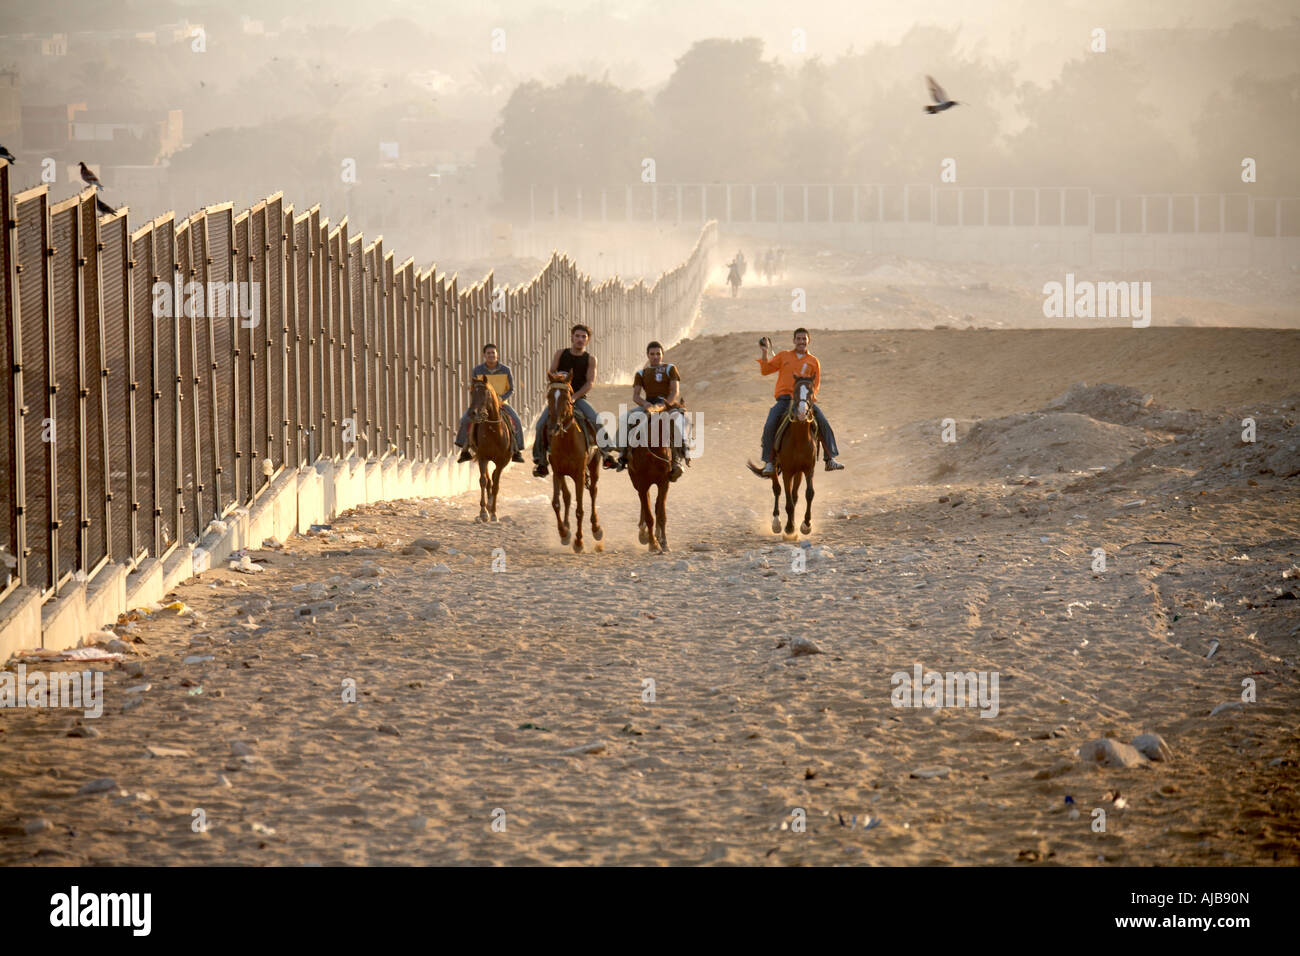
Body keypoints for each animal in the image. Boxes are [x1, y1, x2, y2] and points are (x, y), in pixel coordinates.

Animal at [467, 375, 513, 522]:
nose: (473, 413)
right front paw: (483, 512)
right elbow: (483, 481)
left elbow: (496, 485)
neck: (494, 432)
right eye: (471, 392)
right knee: (487, 479)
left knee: (493, 479)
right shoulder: (482, 457)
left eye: (485, 393)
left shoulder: (502, 462)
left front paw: (493, 513)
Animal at [543, 371, 604, 553]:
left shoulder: (579, 474)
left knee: (593, 491)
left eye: (566, 397)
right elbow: (556, 503)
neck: (567, 441)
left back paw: (596, 528)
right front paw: (564, 533)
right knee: (567, 496)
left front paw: (579, 541)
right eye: (549, 396)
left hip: (594, 465)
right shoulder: (557, 471)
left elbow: (580, 510)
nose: (553, 427)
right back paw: (567, 527)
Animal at [627, 402, 683, 553]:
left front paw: (664, 543)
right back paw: (644, 534)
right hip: (637, 483)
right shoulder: (642, 484)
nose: (681, 445)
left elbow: (661, 513)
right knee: (645, 502)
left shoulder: (664, 482)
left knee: (656, 505)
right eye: (671, 423)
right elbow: (649, 515)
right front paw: (653, 544)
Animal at [747, 375, 817, 540]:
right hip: (775, 468)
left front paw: (806, 525)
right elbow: (788, 501)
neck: (799, 439)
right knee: (777, 490)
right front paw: (789, 528)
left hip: (798, 473)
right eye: (795, 392)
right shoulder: (787, 472)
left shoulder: (808, 469)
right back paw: (777, 523)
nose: (802, 413)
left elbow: (809, 494)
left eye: (811, 392)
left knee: (795, 495)